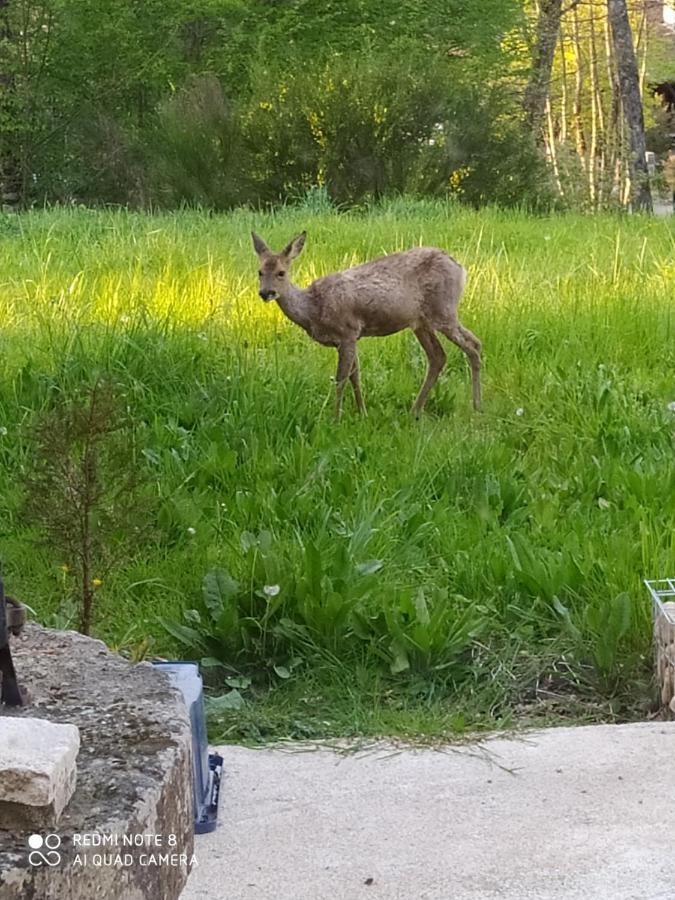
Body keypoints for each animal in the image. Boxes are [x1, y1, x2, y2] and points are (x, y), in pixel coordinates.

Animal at [252, 230, 480, 416]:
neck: (313, 309)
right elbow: (356, 376)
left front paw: (336, 418)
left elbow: (341, 379)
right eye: (260, 272)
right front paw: (362, 412)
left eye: (281, 272)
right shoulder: (349, 338)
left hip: (444, 310)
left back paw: (477, 406)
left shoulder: (347, 332)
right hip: (421, 322)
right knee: (439, 356)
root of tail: (460, 268)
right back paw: (415, 411)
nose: (266, 293)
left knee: (473, 345)